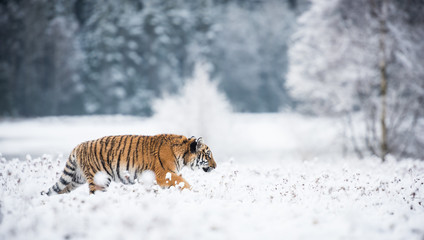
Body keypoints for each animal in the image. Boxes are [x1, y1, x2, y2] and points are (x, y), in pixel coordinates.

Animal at [41, 135, 217, 195]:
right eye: (208, 155)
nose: (216, 166)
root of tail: (78, 146)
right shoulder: (163, 175)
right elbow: (183, 182)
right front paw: (193, 192)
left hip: (76, 179)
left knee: (59, 190)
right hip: (99, 179)